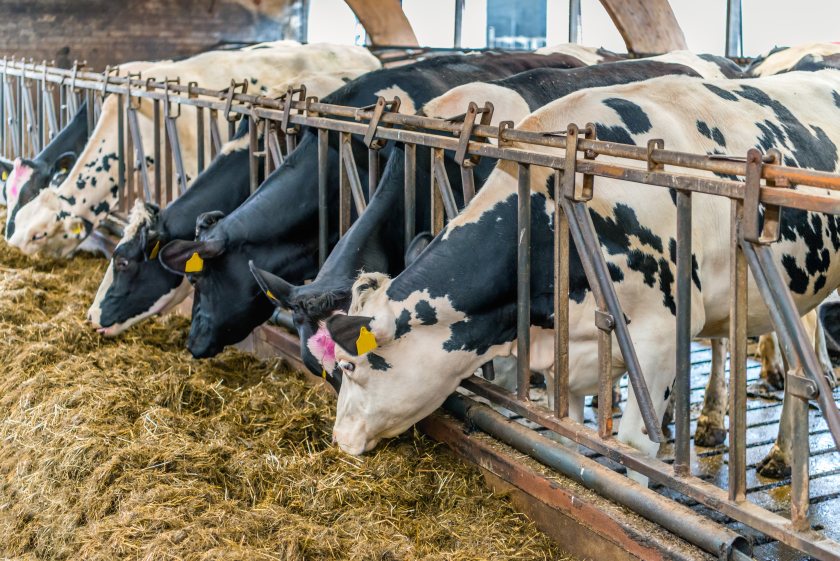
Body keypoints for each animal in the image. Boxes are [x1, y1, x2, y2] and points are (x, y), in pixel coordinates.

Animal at [321, 71, 840, 482]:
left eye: (348, 367)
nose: (338, 439)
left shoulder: (661, 334)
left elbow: (635, 450)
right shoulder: (564, 352)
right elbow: (568, 435)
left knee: (803, 366)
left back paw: (777, 455)